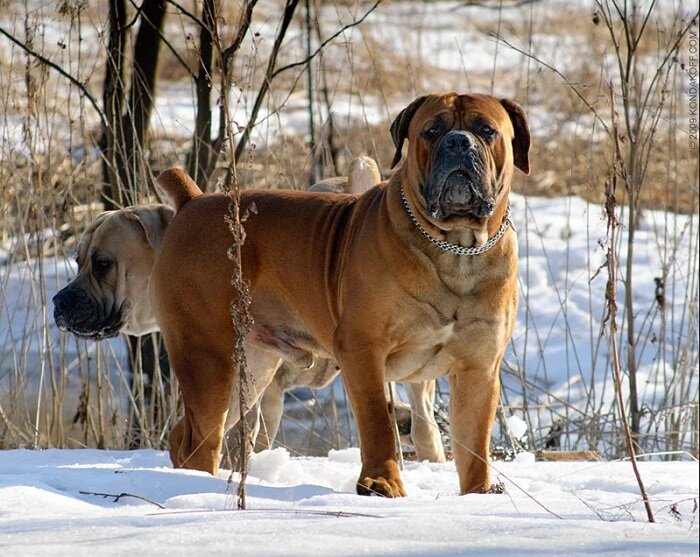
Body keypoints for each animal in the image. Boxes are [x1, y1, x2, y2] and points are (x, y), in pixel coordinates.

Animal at [152, 92, 524, 496]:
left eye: (486, 130)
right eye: (431, 131)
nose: (458, 142)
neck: (456, 252)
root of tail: (193, 201)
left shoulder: (479, 367)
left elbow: (474, 444)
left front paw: (478, 495)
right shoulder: (362, 348)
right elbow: (378, 421)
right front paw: (381, 483)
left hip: (251, 368)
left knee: (188, 434)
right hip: (209, 358)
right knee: (202, 437)